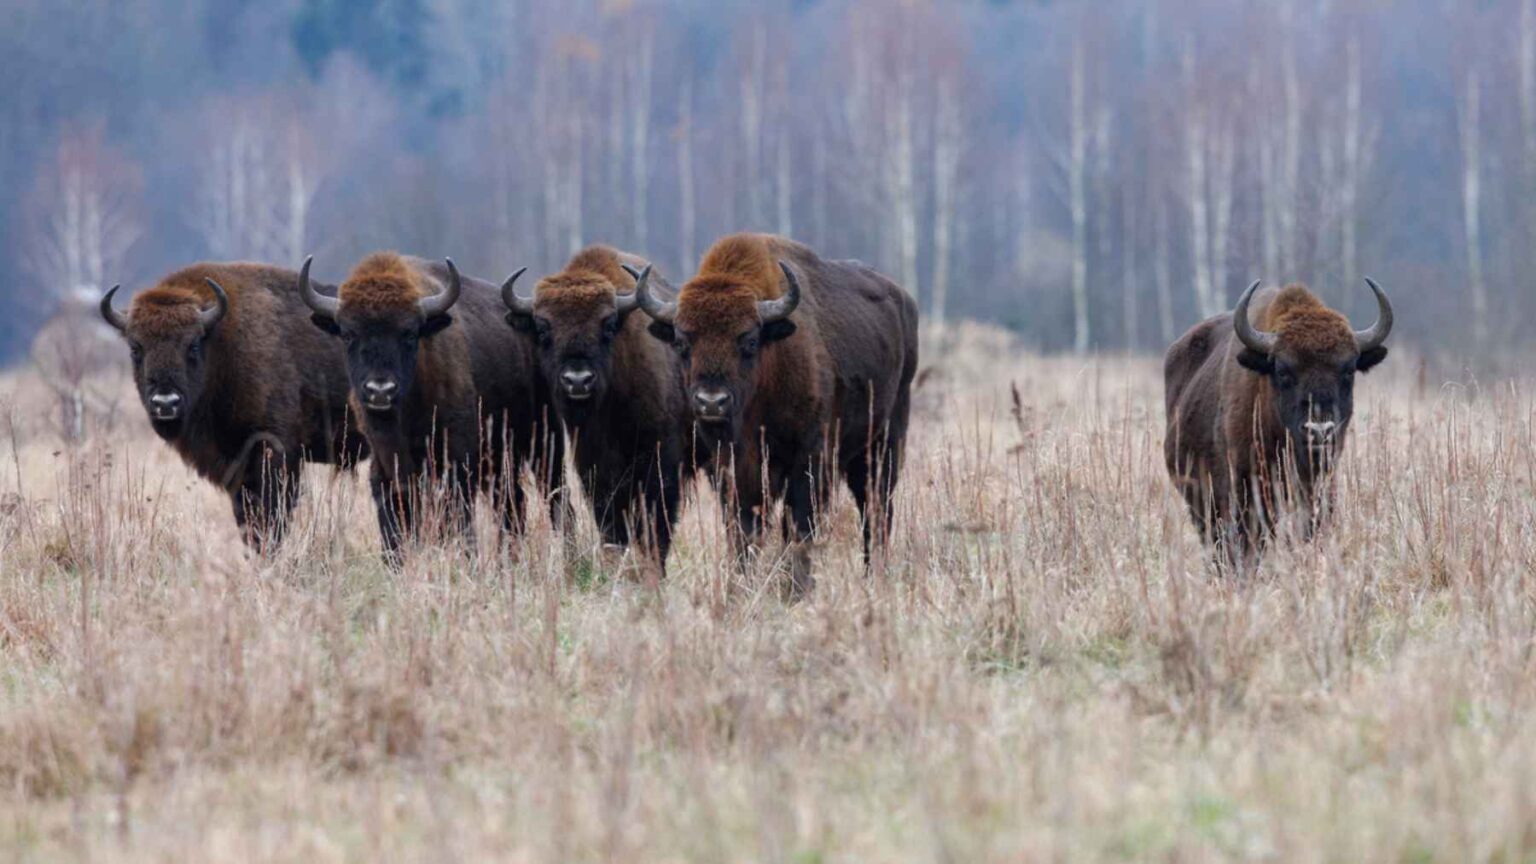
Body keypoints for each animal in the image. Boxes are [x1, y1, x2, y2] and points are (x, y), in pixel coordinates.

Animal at [99, 263, 366, 549]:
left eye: (193, 345)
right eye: (135, 348)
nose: (166, 403)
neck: (222, 342)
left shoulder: (276, 453)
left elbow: (273, 517)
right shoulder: (237, 469)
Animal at [300, 253, 562, 561]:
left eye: (410, 334)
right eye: (348, 334)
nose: (380, 390)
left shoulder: (456, 463)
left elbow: (457, 521)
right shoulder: (386, 470)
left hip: (545, 443)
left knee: (556, 497)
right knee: (512, 504)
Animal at [503, 246, 688, 570]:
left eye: (608, 325)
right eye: (543, 328)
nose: (578, 380)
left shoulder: (660, 458)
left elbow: (657, 518)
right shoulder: (592, 463)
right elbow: (609, 518)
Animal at [634, 233, 919, 595]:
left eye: (749, 341)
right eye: (683, 342)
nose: (712, 402)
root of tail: (903, 300)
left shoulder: (810, 458)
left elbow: (799, 525)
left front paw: (796, 587)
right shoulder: (730, 468)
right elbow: (743, 528)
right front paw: (741, 583)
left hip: (885, 442)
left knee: (877, 508)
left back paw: (875, 576)